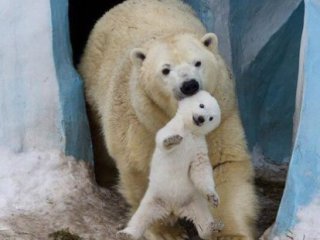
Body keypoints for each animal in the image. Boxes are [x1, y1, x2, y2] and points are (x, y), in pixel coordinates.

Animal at [79, 0, 258, 239]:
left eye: (197, 62)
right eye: (165, 70)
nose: (189, 85)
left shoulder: (222, 113)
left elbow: (222, 164)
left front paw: (230, 233)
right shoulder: (142, 121)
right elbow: (143, 169)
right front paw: (166, 231)